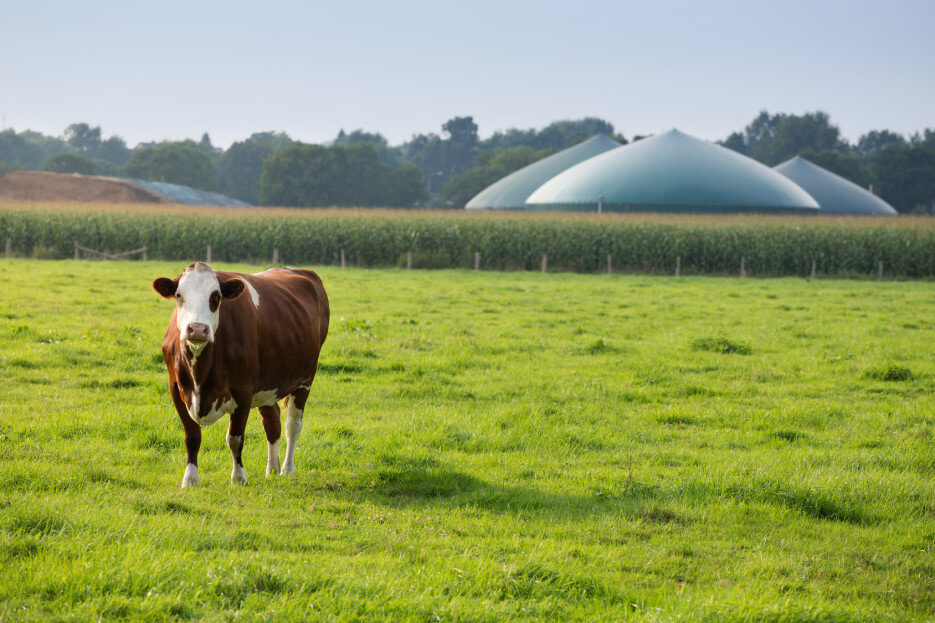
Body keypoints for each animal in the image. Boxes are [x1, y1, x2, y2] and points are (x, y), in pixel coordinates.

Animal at [152, 262, 329, 487]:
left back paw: (287, 469)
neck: (201, 373)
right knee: (272, 423)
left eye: (216, 297)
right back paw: (272, 469)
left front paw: (238, 478)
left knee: (293, 425)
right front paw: (190, 479)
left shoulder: (243, 391)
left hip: (306, 378)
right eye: (178, 295)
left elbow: (234, 438)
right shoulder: (177, 389)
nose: (198, 329)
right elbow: (192, 437)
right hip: (267, 385)